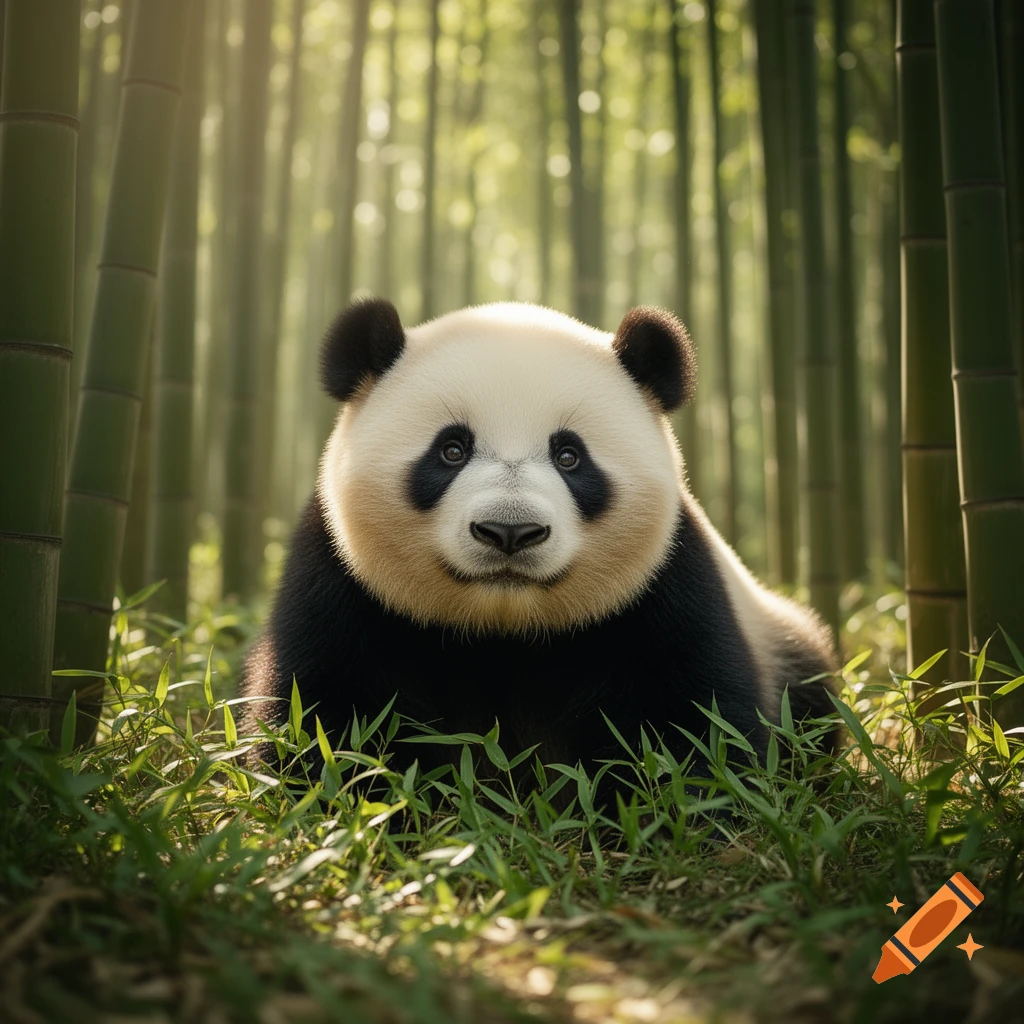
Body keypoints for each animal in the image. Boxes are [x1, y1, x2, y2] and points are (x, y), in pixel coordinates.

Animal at [240, 297, 839, 792]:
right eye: (451, 449)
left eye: (569, 456)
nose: (509, 531)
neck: (504, 631)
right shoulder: (342, 582)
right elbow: (327, 716)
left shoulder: (666, 586)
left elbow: (692, 726)